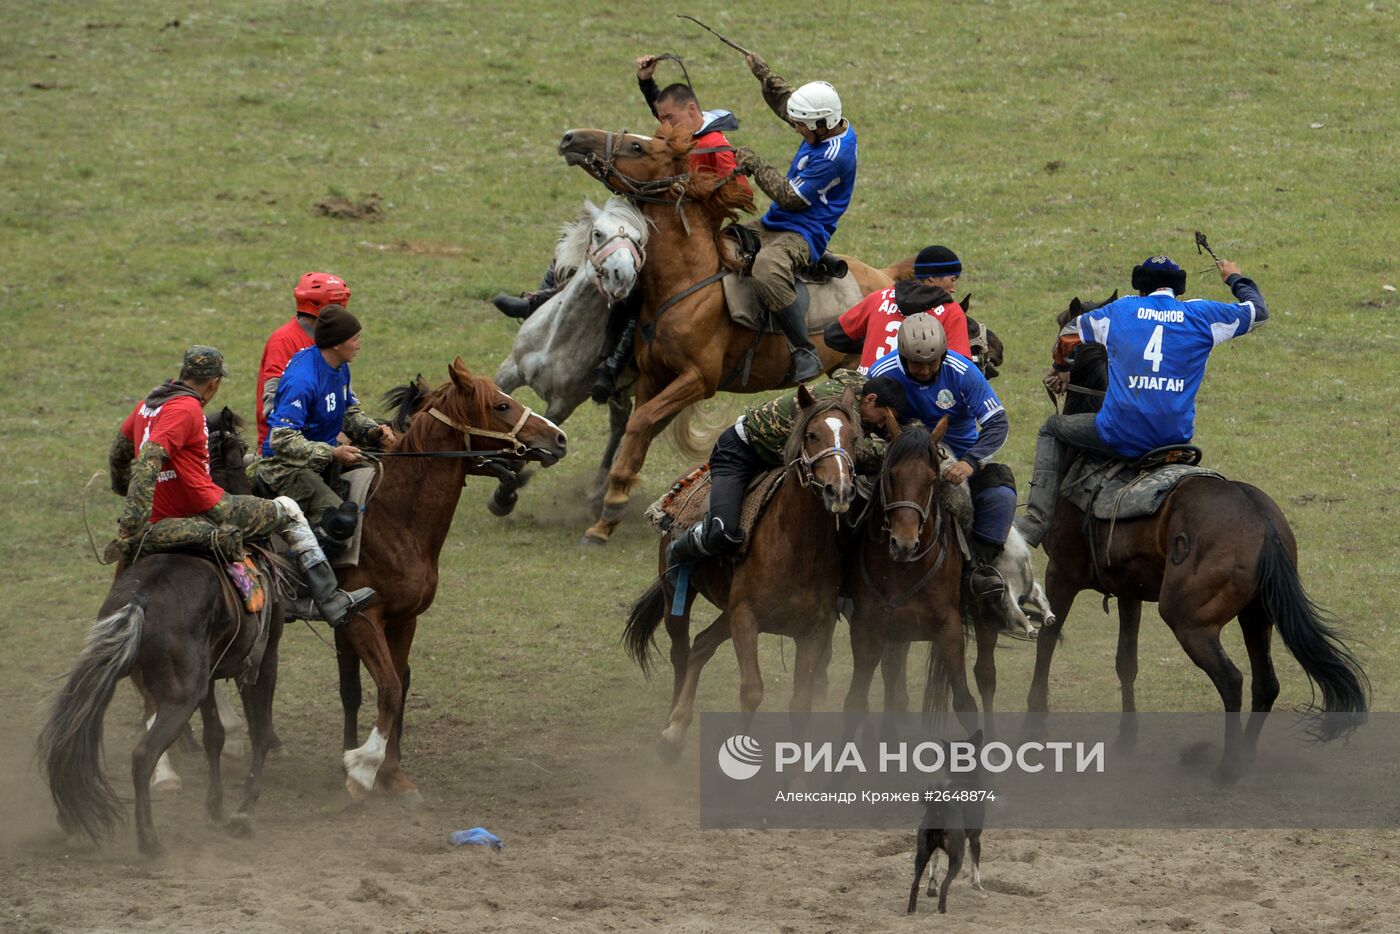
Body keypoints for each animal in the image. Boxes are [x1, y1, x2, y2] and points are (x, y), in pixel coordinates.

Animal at [330, 354, 565, 800]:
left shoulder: (403, 618)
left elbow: (396, 686)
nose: (559, 438)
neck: (393, 519)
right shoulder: (361, 618)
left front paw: (392, 774)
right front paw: (361, 768)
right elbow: (385, 687)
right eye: (501, 405)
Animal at [490, 197, 646, 518]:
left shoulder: (563, 404)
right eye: (598, 233)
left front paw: (504, 495)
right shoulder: (509, 370)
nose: (623, 277)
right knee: (620, 424)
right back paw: (596, 491)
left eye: (638, 242)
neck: (558, 337)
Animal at [557, 125, 907, 548]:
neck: (688, 281)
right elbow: (640, 431)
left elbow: (640, 423)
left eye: (638, 146)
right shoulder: (654, 377)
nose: (572, 138)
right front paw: (605, 515)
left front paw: (611, 506)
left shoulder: (698, 380)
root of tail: (886, 277)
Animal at [624, 383, 862, 756]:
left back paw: (678, 724)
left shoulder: (814, 630)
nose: (838, 490)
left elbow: (800, 703)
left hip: (727, 613)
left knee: (702, 645)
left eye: (853, 437)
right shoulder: (746, 618)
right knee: (682, 652)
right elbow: (752, 690)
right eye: (812, 435)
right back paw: (671, 730)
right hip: (677, 594)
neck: (795, 548)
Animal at [1030, 295, 1366, 778]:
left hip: (1189, 618)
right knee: (1266, 683)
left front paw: (1034, 725)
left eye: (1062, 337)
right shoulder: (1128, 591)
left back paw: (1227, 766)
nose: (1051, 374)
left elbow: (1048, 642)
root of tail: (1260, 520)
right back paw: (1244, 754)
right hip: (1256, 613)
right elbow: (1126, 662)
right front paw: (1126, 739)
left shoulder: (1062, 573)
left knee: (1233, 680)